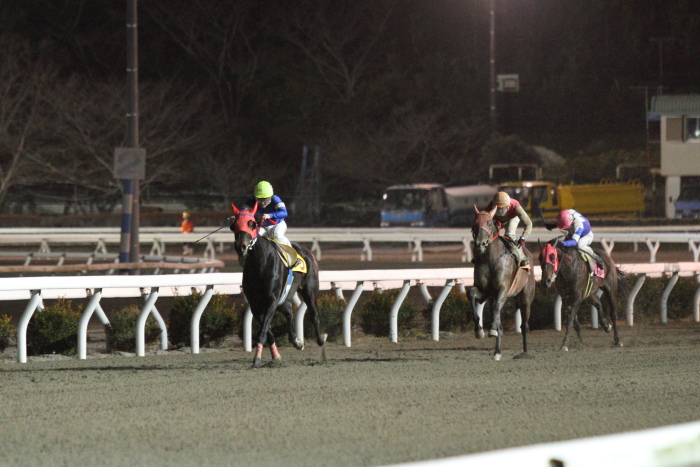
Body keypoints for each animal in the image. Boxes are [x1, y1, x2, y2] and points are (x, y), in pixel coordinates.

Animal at [470, 206, 536, 362]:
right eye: (475, 222)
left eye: (489, 222)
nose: (480, 243)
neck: (490, 259)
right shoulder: (485, 292)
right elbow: (472, 293)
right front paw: (479, 330)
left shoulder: (503, 290)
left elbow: (496, 311)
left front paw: (492, 329)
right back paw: (497, 352)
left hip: (526, 298)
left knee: (524, 325)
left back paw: (525, 353)